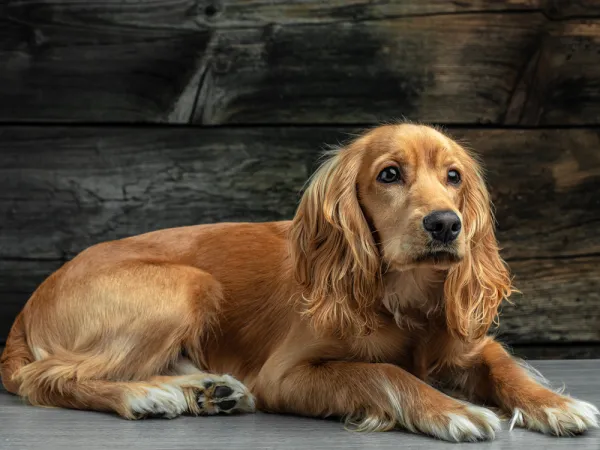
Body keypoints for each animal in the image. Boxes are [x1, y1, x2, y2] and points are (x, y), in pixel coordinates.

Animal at [2, 125, 596, 442]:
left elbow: (503, 364)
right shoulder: (285, 376)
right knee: (49, 378)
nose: (446, 225)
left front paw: (554, 404)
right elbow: (383, 372)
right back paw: (147, 395)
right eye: (389, 174)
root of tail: (29, 304)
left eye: (454, 177)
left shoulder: (467, 343)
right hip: (187, 284)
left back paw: (206, 389)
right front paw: (452, 410)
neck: (402, 297)